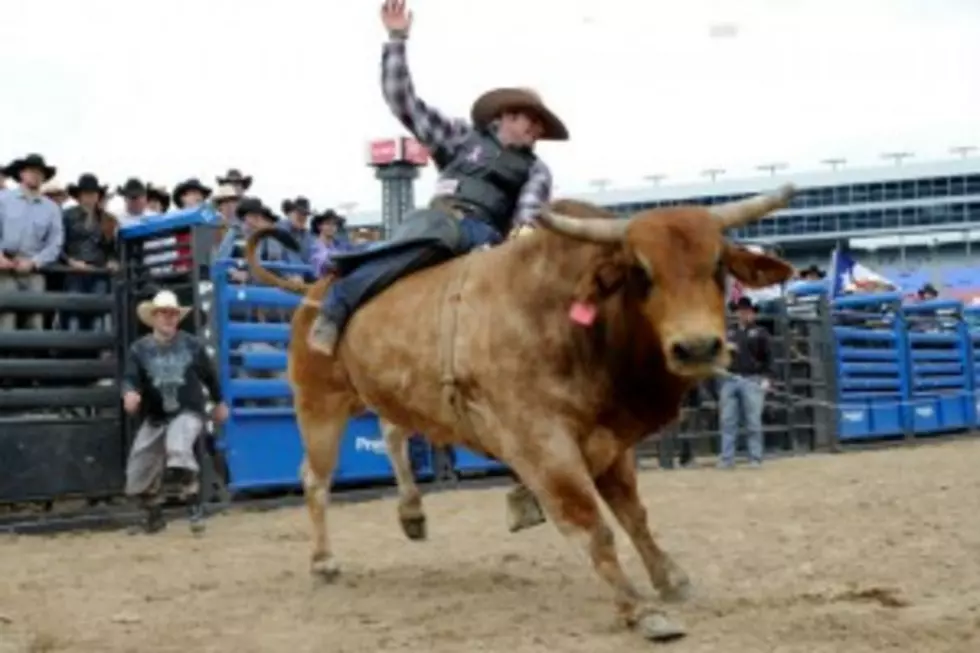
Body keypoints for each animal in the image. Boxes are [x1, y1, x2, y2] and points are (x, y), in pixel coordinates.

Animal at [245, 185, 796, 640]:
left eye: (718, 265)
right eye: (641, 272)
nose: (698, 346)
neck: (572, 322)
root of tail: (315, 290)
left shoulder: (609, 440)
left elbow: (634, 515)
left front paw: (669, 577)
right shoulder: (544, 444)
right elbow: (591, 525)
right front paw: (638, 609)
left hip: (390, 394)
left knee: (394, 433)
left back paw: (412, 511)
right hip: (319, 405)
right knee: (316, 479)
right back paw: (323, 561)